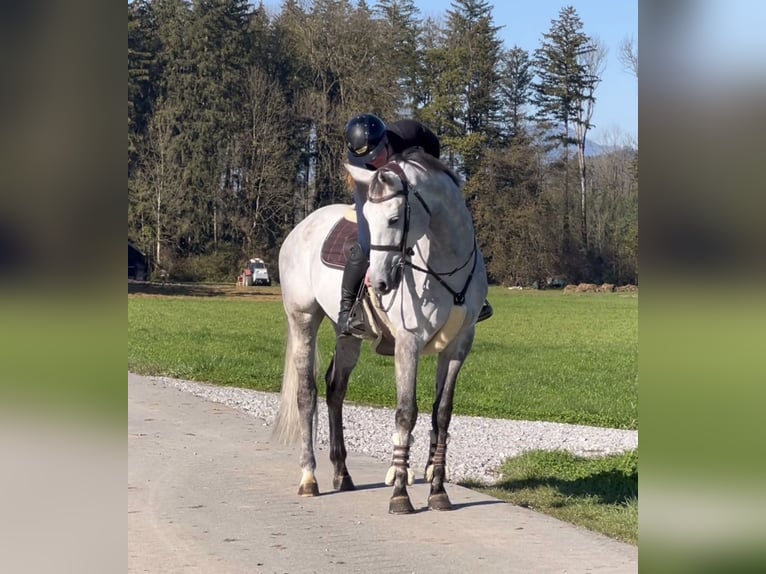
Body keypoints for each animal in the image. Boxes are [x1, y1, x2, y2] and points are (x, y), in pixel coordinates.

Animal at [276, 151, 492, 516]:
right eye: (369, 218)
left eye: (393, 219)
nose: (376, 282)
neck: (446, 262)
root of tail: (302, 226)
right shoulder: (408, 344)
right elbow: (406, 413)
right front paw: (401, 493)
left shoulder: (458, 347)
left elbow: (442, 414)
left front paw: (437, 490)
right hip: (303, 318)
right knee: (307, 394)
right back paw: (309, 478)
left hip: (346, 335)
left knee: (335, 390)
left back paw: (342, 473)